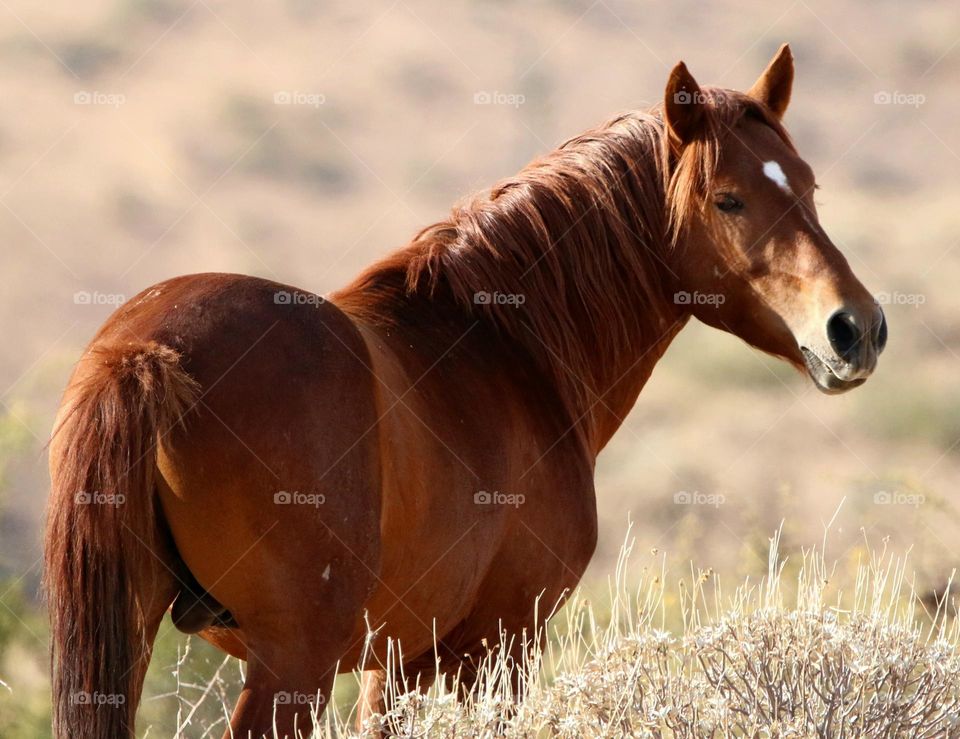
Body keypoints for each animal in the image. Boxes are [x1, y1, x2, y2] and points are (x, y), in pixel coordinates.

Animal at [44, 44, 886, 738]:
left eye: (809, 186)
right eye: (727, 199)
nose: (856, 328)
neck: (503, 344)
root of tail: (141, 352)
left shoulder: (395, 665)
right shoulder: (499, 648)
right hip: (291, 663)